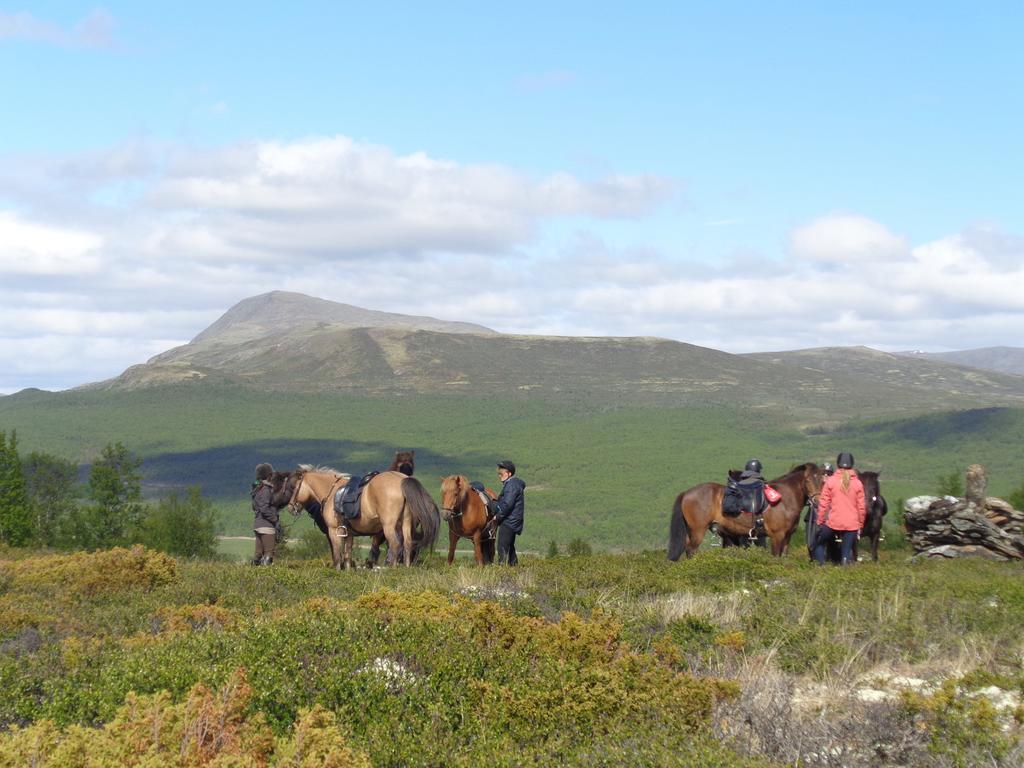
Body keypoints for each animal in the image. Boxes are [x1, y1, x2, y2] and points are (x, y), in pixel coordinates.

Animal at [286, 466, 438, 569]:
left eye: (294, 487)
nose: (291, 507)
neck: (331, 492)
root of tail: (402, 480)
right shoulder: (348, 534)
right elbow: (347, 555)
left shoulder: (334, 531)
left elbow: (337, 555)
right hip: (406, 523)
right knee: (407, 544)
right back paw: (405, 568)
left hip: (389, 526)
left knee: (395, 545)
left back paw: (392, 569)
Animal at [667, 462, 827, 561]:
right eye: (807, 480)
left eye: (822, 480)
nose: (818, 502)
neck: (784, 499)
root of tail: (687, 493)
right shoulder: (777, 536)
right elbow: (776, 557)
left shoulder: (787, 537)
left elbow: (784, 557)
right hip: (698, 530)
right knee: (691, 550)